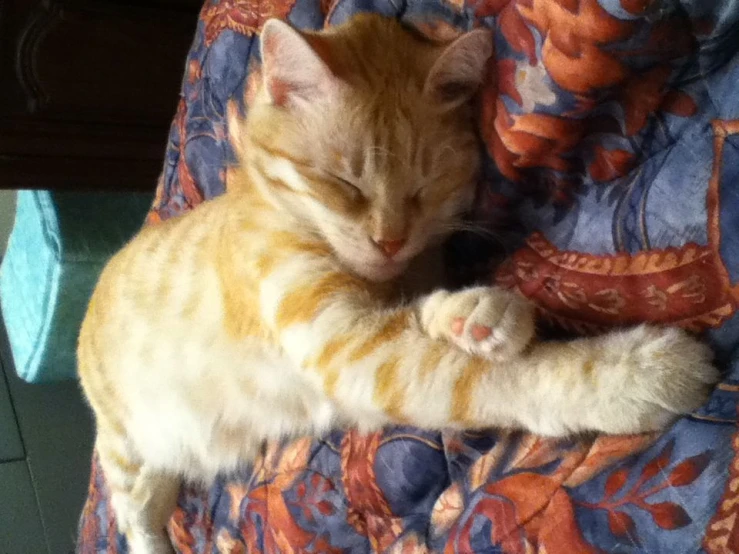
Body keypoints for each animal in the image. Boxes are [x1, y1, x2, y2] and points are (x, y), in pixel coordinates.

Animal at [79, 14, 716, 552]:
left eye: (423, 187)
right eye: (345, 184)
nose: (389, 239)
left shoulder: (378, 313)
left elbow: (424, 309)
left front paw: (475, 314)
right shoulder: (349, 345)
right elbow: (498, 376)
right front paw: (634, 374)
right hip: (126, 453)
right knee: (134, 517)